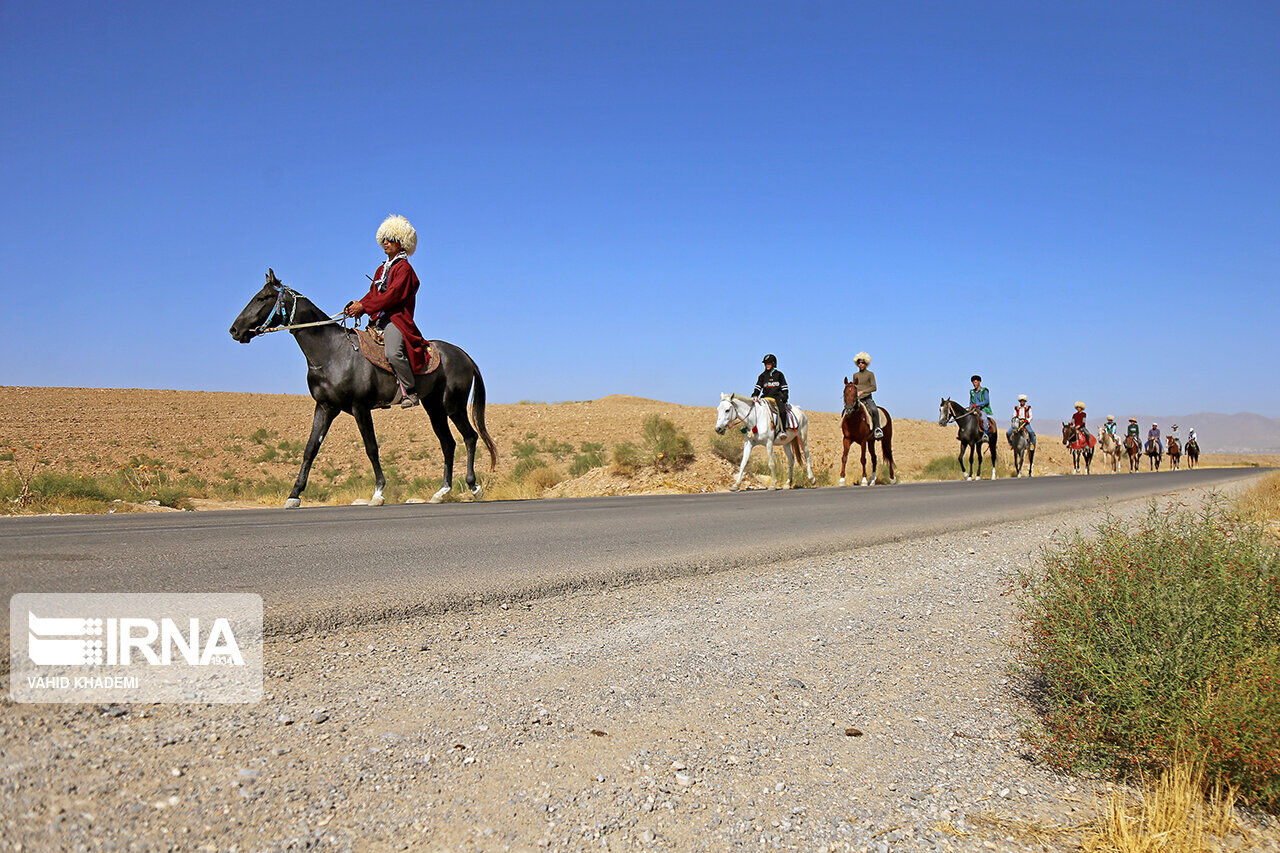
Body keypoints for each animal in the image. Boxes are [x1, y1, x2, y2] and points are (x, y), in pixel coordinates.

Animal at [229, 268, 494, 502]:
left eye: (262, 298)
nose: (235, 330)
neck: (331, 352)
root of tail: (464, 356)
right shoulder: (325, 407)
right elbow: (310, 449)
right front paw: (294, 494)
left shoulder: (360, 407)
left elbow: (371, 448)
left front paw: (378, 492)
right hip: (434, 407)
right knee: (448, 443)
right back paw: (442, 492)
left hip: (453, 405)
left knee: (470, 437)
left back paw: (473, 487)